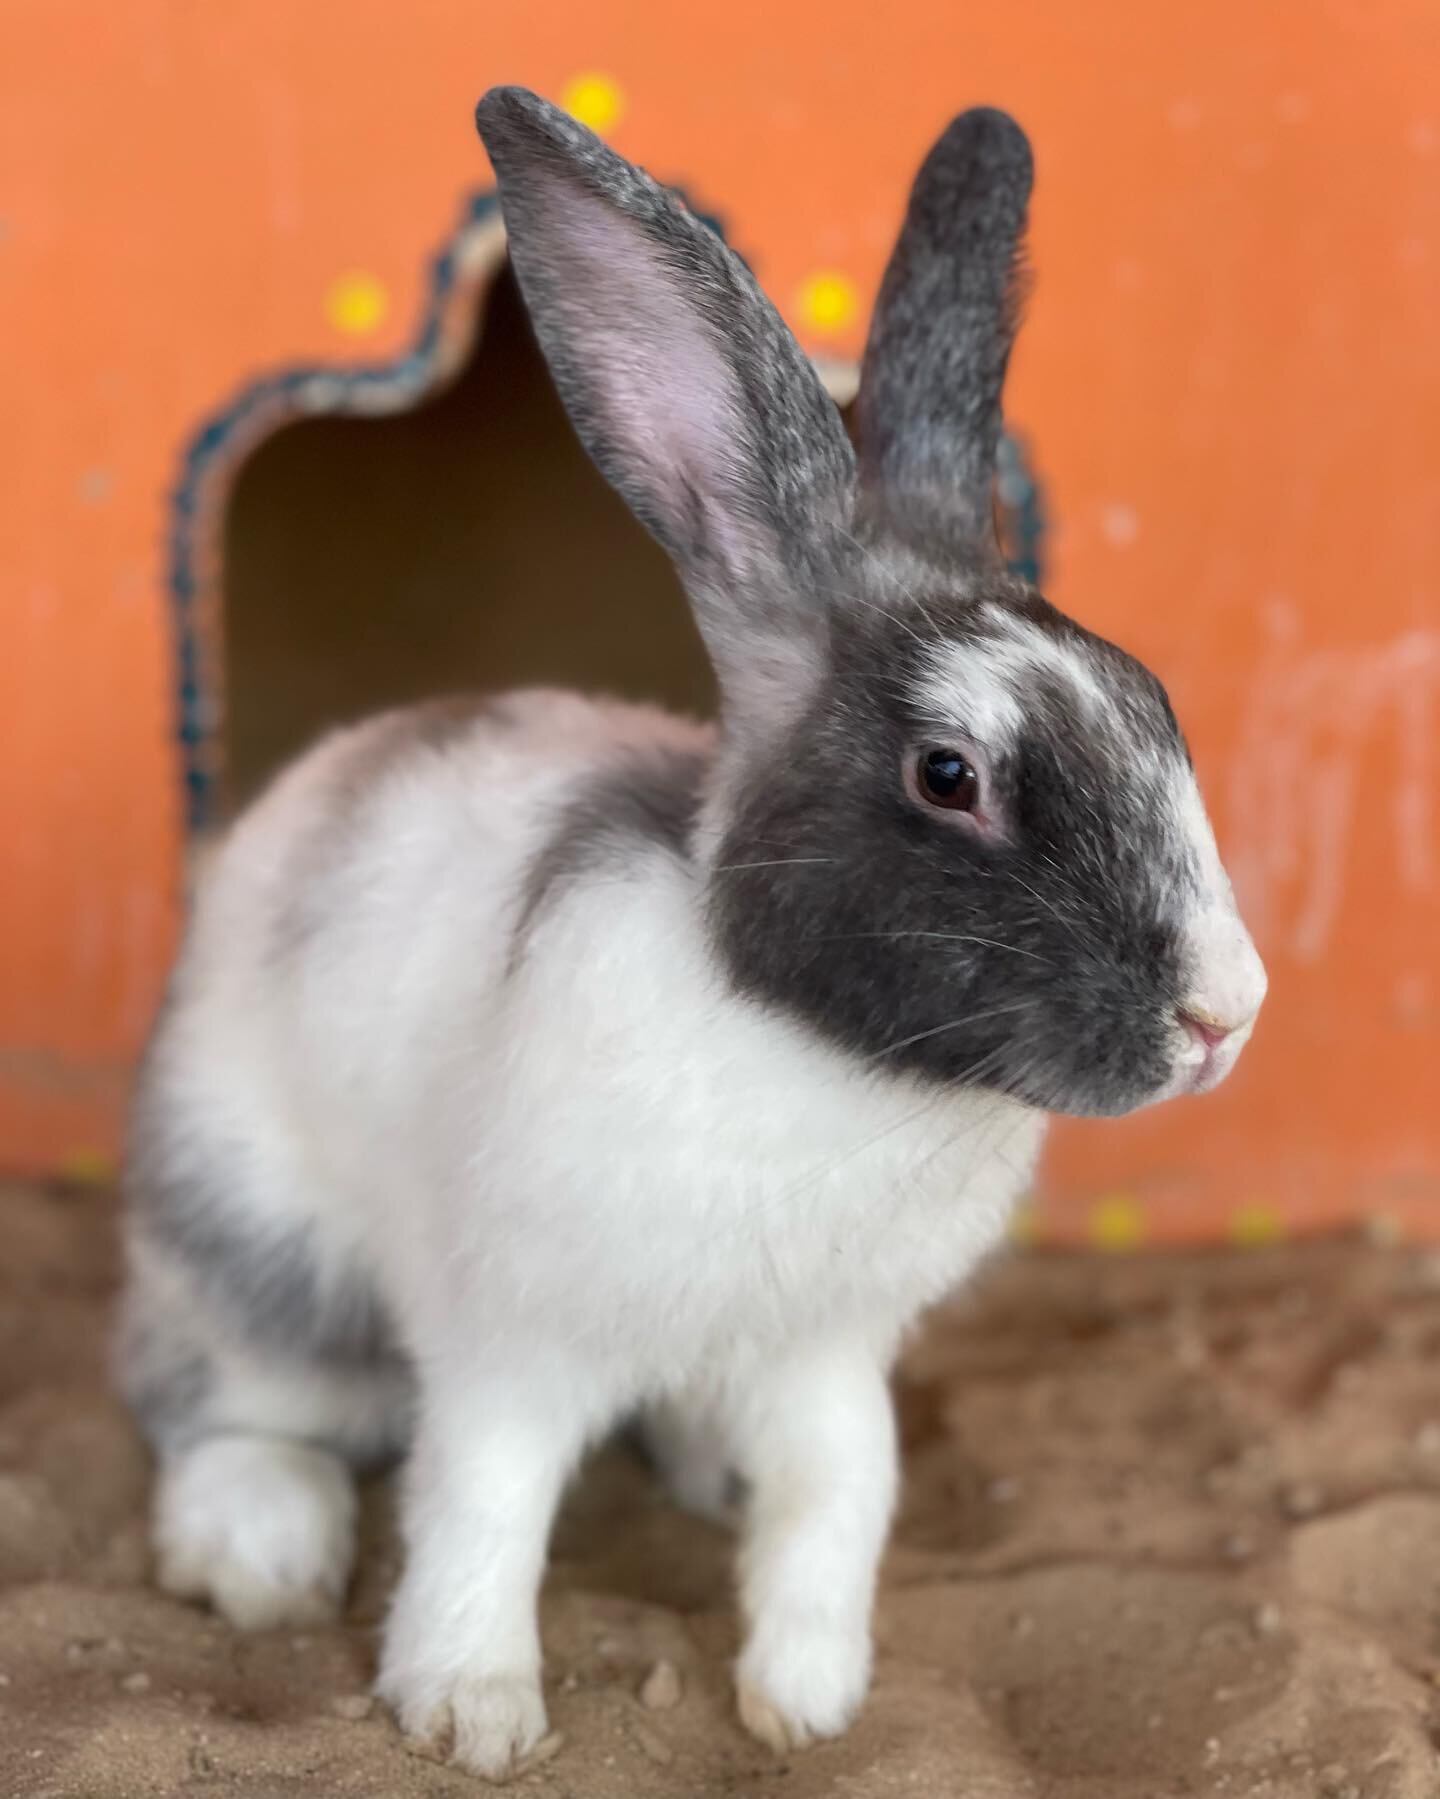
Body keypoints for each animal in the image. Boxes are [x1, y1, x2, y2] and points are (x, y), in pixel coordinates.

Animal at [117, 87, 1267, 1784]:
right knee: (211, 1398)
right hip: (258, 1245)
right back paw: (262, 1548)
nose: (1222, 1014)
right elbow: (482, 1509)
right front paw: (470, 1708)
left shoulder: (828, 1356)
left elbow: (842, 1501)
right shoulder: (510, 1340)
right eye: (951, 775)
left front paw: (811, 1700)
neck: (811, 1058)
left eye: (1155, 706)